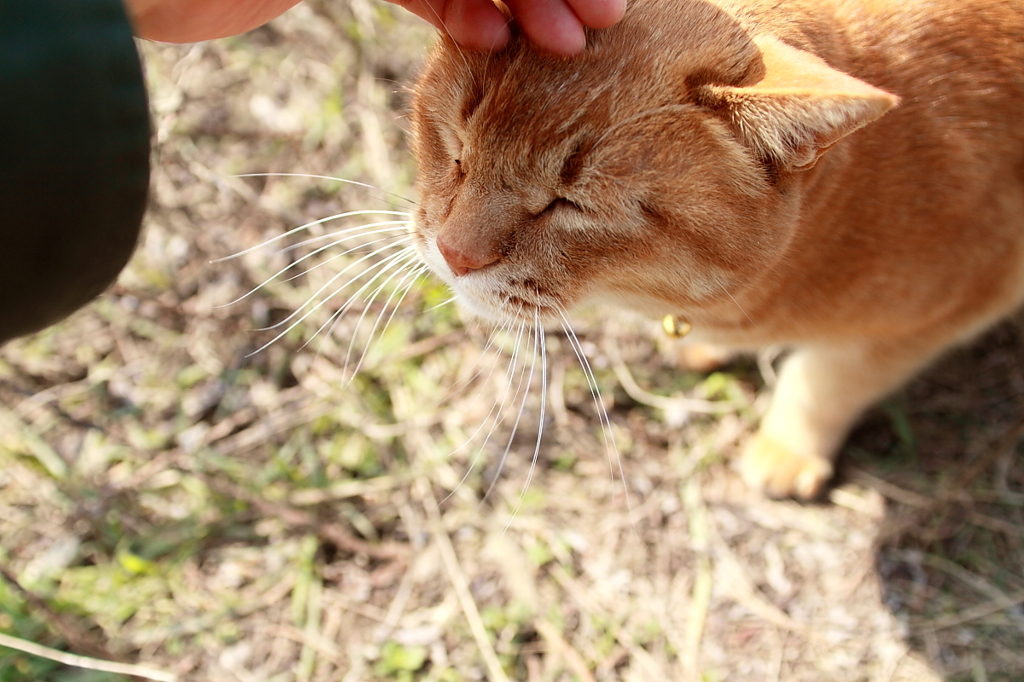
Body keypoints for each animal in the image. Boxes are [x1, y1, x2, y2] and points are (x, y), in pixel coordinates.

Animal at [407, 1, 1024, 499]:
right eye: (457, 148)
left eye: (573, 205)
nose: (454, 252)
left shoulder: (933, 318)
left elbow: (829, 380)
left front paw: (788, 448)